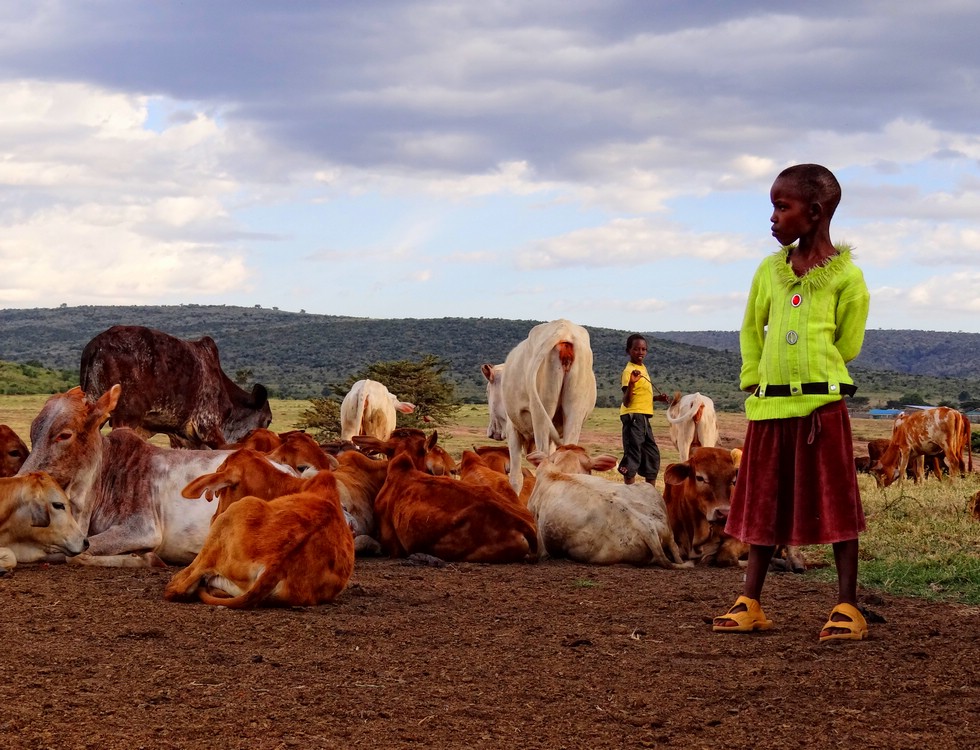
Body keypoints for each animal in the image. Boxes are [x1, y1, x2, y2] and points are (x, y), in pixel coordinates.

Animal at [476, 320, 592, 496]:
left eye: (487, 392)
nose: (491, 432)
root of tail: (563, 330)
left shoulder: (513, 430)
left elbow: (516, 477)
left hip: (541, 417)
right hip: (574, 415)